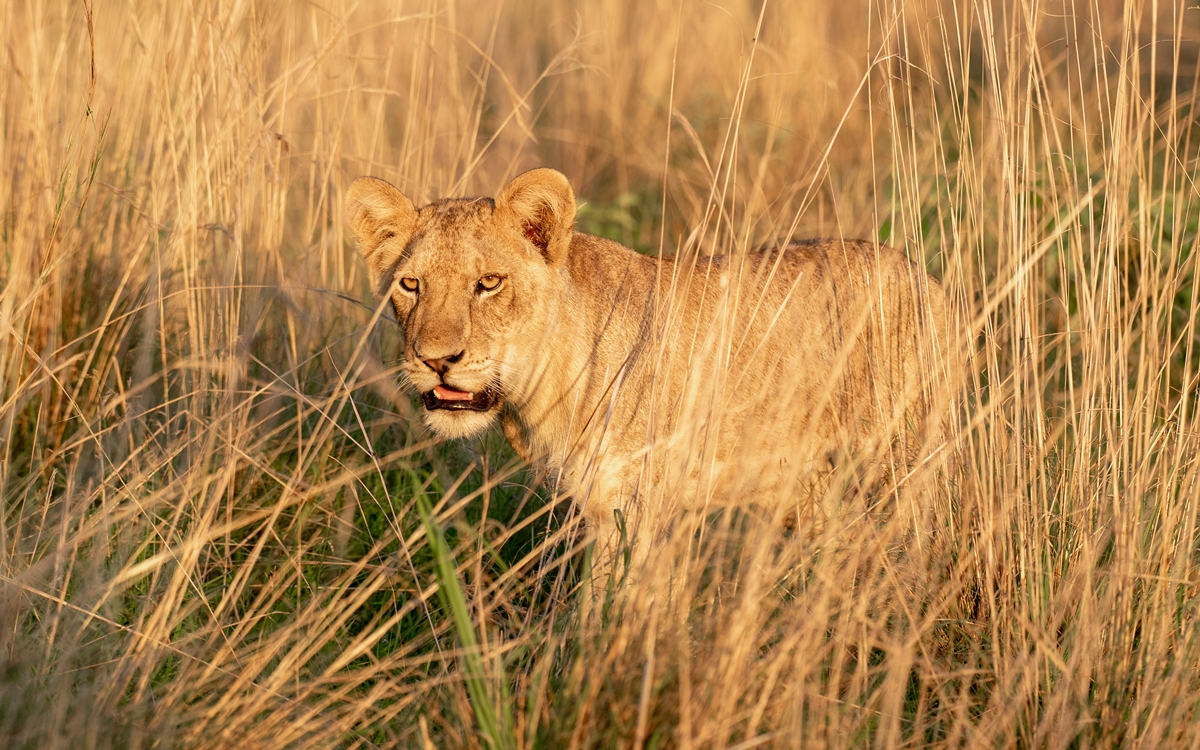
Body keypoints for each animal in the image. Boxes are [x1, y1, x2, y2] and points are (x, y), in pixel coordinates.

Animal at [345, 169, 955, 576]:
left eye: (488, 283)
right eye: (410, 285)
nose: (435, 359)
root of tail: (926, 277)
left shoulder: (634, 505)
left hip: (902, 462)